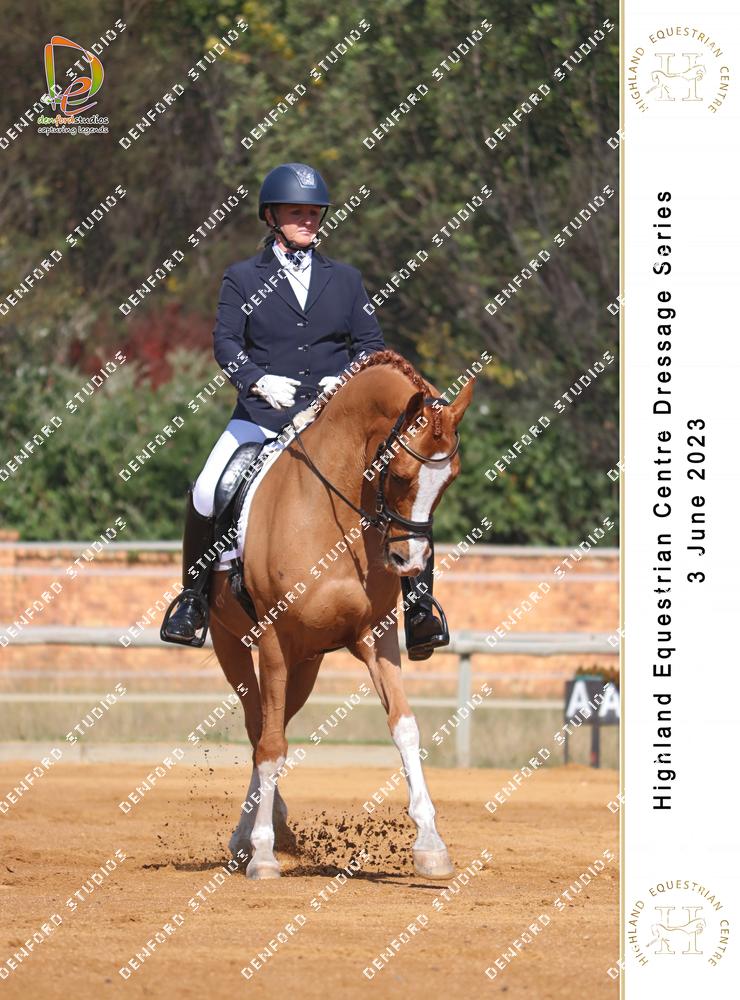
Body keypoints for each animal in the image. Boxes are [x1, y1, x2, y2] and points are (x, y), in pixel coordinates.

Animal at [208, 349, 474, 879]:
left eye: (450, 479)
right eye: (399, 474)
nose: (409, 562)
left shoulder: (377, 636)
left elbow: (404, 726)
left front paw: (431, 845)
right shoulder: (271, 639)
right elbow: (271, 746)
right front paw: (264, 855)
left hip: (305, 664)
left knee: (269, 725)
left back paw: (262, 830)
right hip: (234, 645)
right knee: (260, 729)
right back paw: (253, 840)